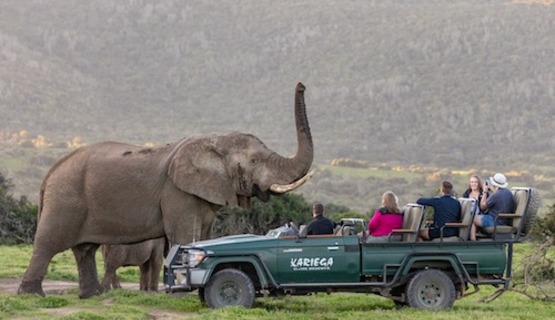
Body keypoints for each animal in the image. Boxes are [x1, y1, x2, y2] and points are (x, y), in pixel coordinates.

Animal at [18, 82, 312, 298]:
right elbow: (184, 235)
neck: (214, 139)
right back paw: (32, 295)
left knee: (85, 250)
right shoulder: (177, 193)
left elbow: (204, 236)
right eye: (254, 161)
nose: (301, 85)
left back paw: (93, 296)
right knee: (49, 242)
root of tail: (50, 173)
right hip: (66, 198)